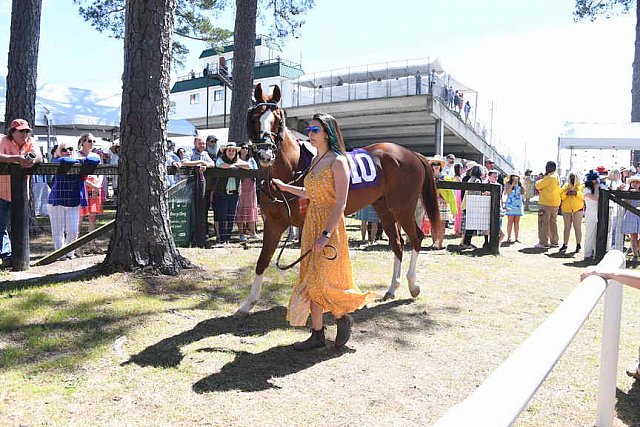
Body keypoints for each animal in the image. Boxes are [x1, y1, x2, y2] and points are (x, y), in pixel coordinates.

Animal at [235, 83, 440, 318]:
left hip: (403, 208)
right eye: (254, 117)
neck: (293, 167)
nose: (265, 154)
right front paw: (248, 304)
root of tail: (413, 154)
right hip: (384, 208)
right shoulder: (274, 222)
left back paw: (413, 285)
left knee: (416, 238)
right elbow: (262, 261)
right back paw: (391, 288)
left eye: (277, 118)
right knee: (397, 243)